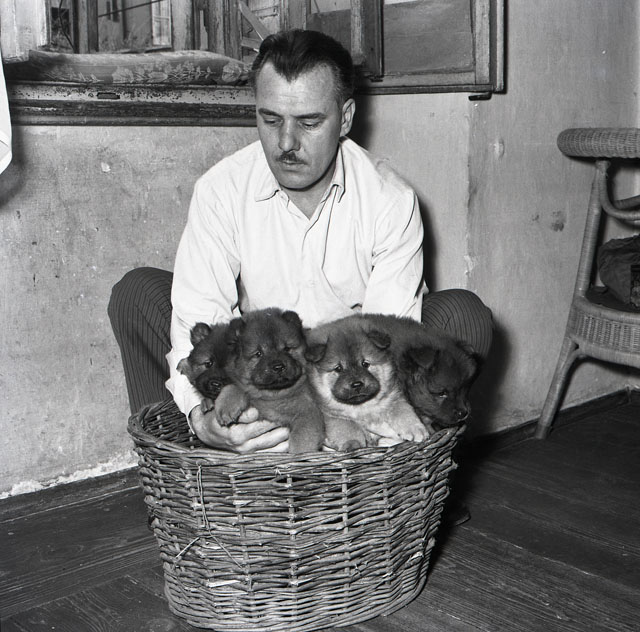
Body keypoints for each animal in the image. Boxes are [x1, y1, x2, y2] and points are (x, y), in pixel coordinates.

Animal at [214, 308, 325, 453]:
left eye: (287, 349)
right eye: (258, 354)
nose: (278, 366)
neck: (272, 395)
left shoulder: (308, 414)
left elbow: (302, 441)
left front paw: (299, 456)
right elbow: (235, 386)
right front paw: (225, 406)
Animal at [305, 317, 429, 451]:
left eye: (365, 364)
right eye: (338, 368)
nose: (357, 384)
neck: (362, 407)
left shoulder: (394, 397)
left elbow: (404, 411)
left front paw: (416, 429)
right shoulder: (332, 415)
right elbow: (347, 427)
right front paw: (353, 443)